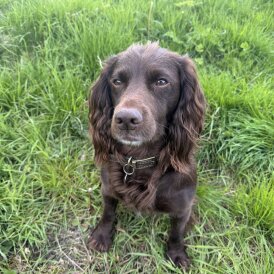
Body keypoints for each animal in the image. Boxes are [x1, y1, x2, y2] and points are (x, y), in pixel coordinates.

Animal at [86, 42, 204, 268]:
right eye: (117, 81)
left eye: (161, 82)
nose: (125, 119)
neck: (138, 158)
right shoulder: (108, 189)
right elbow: (108, 212)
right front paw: (102, 236)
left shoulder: (183, 208)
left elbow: (176, 233)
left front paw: (177, 254)